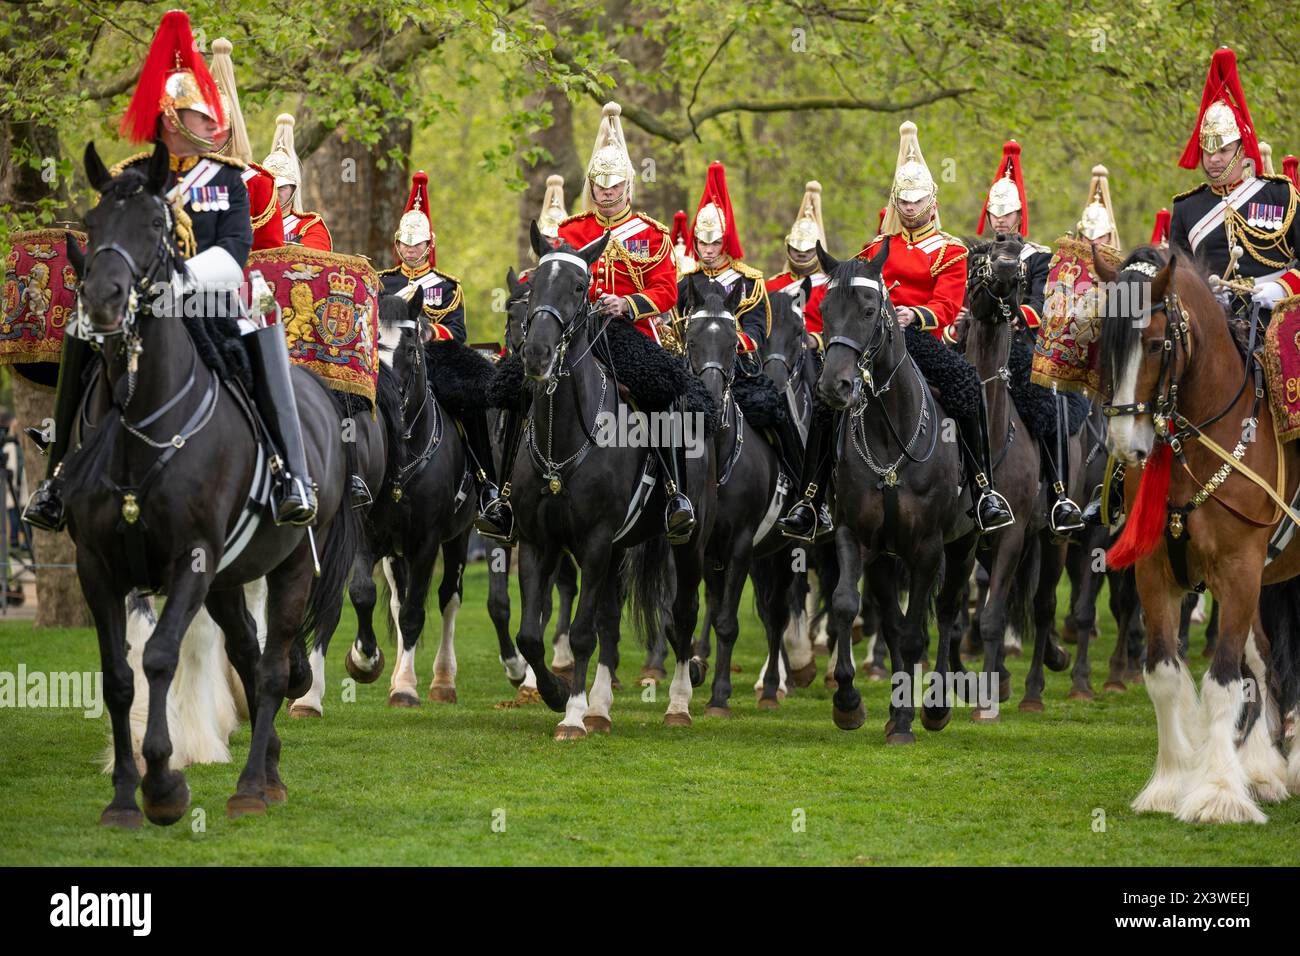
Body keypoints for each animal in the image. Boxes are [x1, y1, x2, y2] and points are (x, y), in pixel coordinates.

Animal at [61, 140, 356, 822]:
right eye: (91, 222)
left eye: (154, 225)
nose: (103, 303)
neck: (142, 425)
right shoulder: (98, 565)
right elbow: (119, 675)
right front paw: (125, 796)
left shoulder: (191, 558)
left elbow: (161, 656)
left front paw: (165, 782)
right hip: (228, 577)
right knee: (247, 655)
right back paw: (267, 767)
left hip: (287, 566)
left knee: (272, 665)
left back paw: (251, 786)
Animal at [1097, 244, 1300, 822]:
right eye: (1102, 343)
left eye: (1155, 343)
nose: (1126, 445)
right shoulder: (1155, 572)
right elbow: (1165, 676)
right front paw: (1170, 785)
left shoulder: (1238, 569)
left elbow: (1223, 680)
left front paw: (1217, 793)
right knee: (1265, 659)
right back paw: (1263, 769)